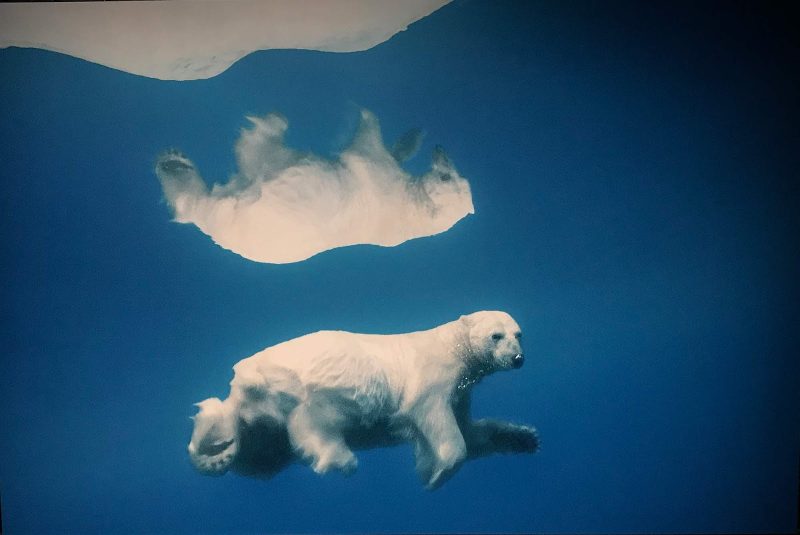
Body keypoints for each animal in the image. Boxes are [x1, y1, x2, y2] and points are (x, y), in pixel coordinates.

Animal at [187, 311, 539, 489]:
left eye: (519, 334)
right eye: (496, 336)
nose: (518, 358)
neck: (452, 346)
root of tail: (242, 383)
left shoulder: (462, 390)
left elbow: (472, 431)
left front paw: (524, 437)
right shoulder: (433, 376)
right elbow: (436, 421)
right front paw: (435, 474)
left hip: (264, 425)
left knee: (259, 455)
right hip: (308, 387)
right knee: (314, 421)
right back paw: (338, 458)